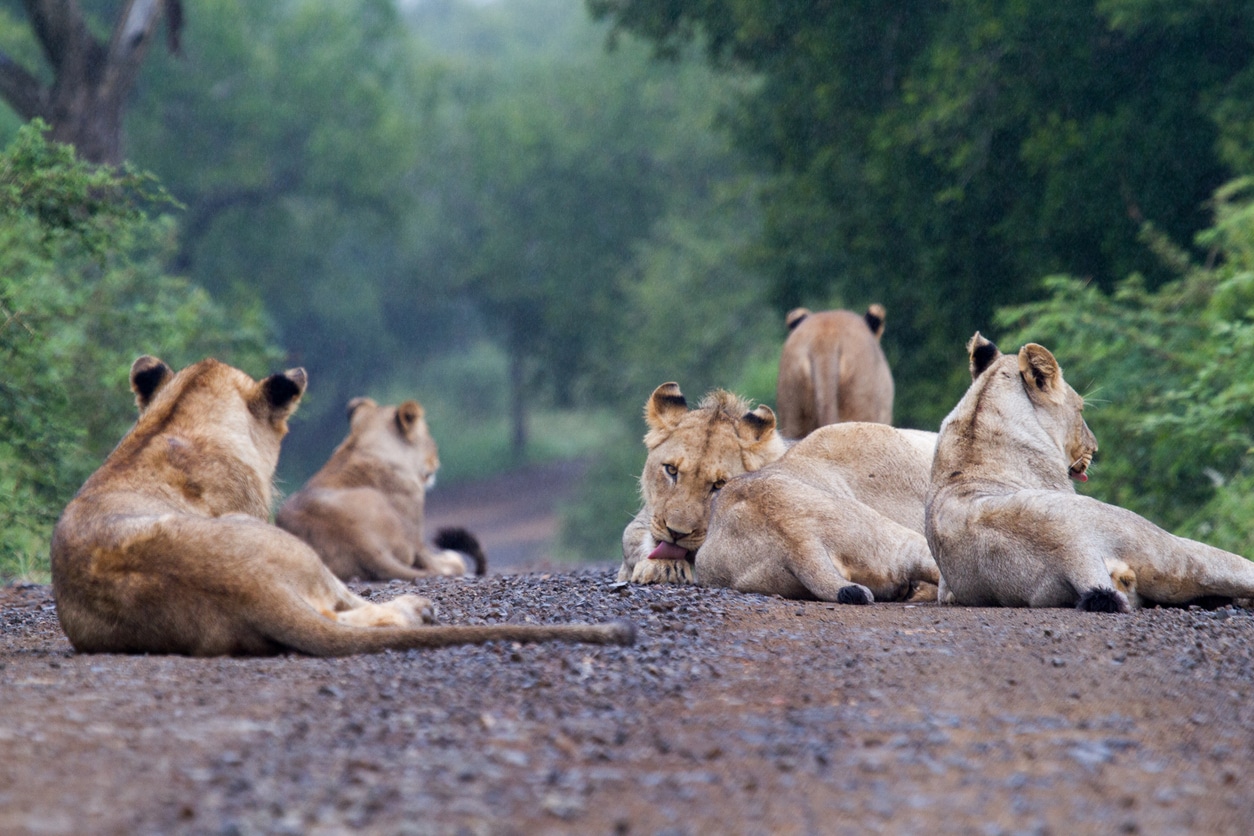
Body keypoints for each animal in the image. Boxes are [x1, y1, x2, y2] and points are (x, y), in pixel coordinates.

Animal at [277, 397, 484, 581]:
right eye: (430, 439)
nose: (436, 461)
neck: (362, 445)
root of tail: (362, 542)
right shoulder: (417, 537)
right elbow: (444, 562)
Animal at [619, 383, 787, 585]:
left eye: (719, 485)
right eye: (671, 470)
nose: (676, 533)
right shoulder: (643, 520)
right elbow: (634, 540)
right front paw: (664, 566)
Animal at [925, 333, 1254, 612]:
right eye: (1081, 409)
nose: (1094, 448)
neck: (975, 428)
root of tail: (1073, 551)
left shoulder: (946, 590)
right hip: (1168, 547)